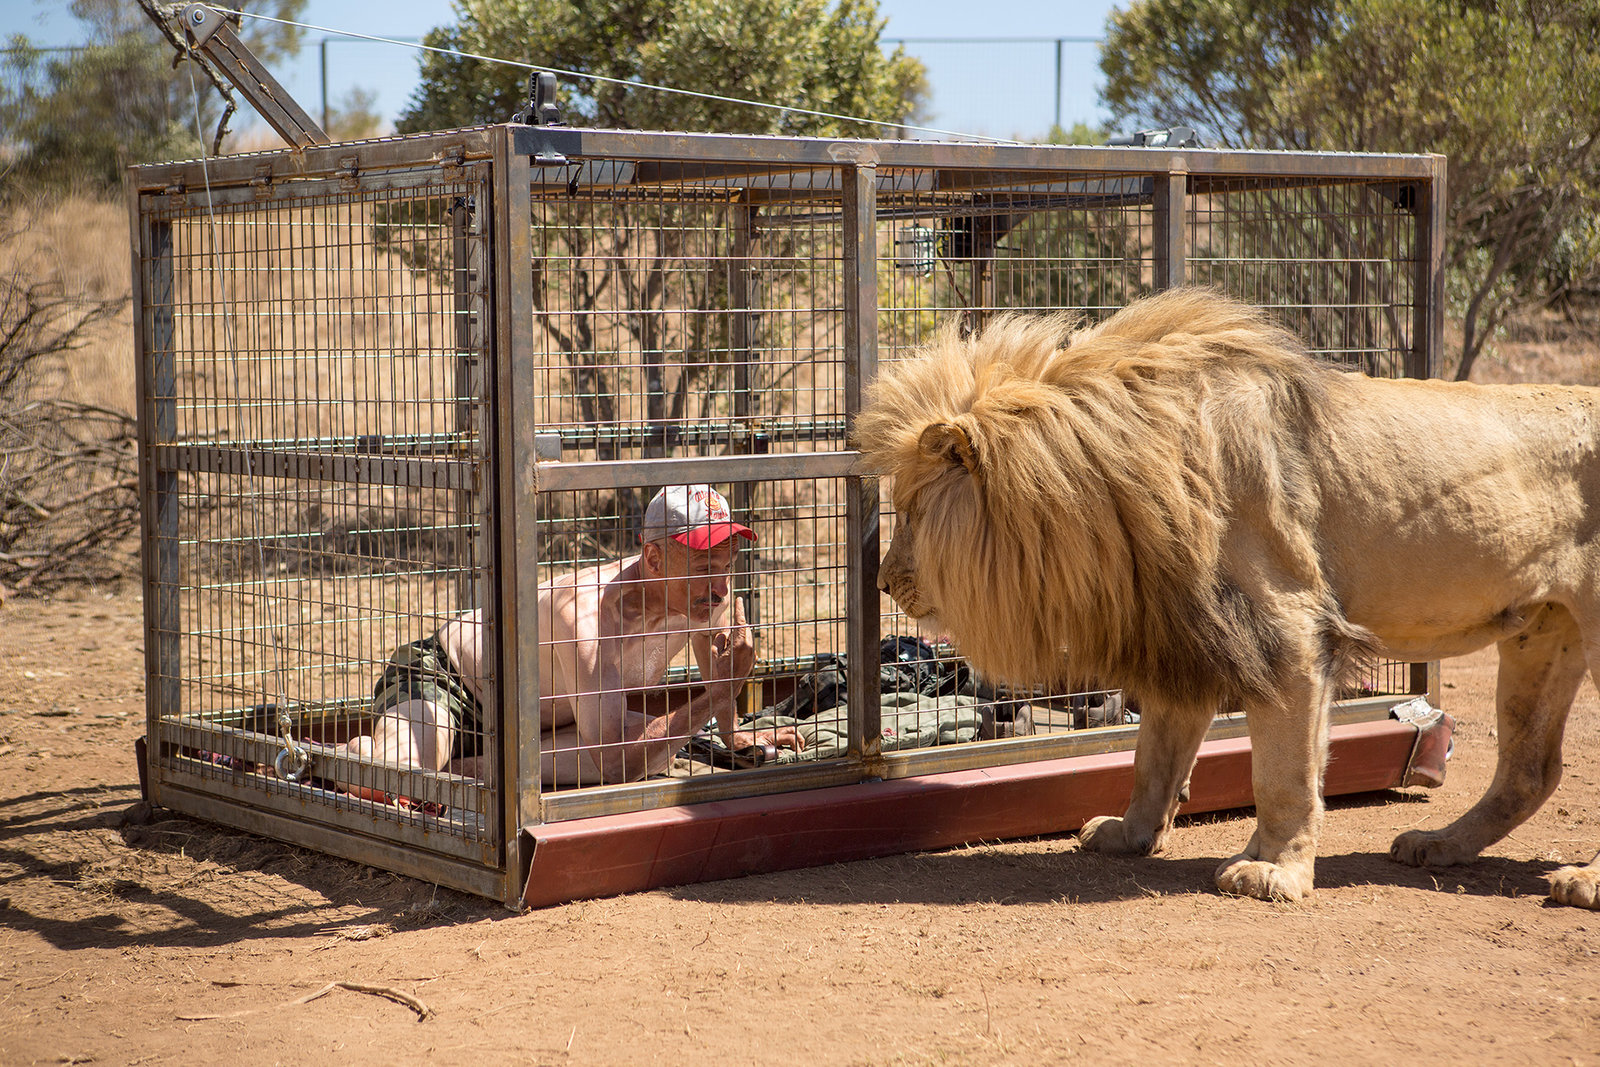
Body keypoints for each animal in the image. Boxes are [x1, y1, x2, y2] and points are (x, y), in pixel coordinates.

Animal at [857, 289, 1600, 908]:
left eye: (912, 509)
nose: (883, 580)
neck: (1124, 472)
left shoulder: (1288, 632)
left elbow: (1283, 773)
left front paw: (1274, 870)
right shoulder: (1186, 626)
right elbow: (1154, 756)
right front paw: (1131, 834)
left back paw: (1582, 882)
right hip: (1542, 635)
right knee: (1532, 770)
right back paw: (1439, 844)